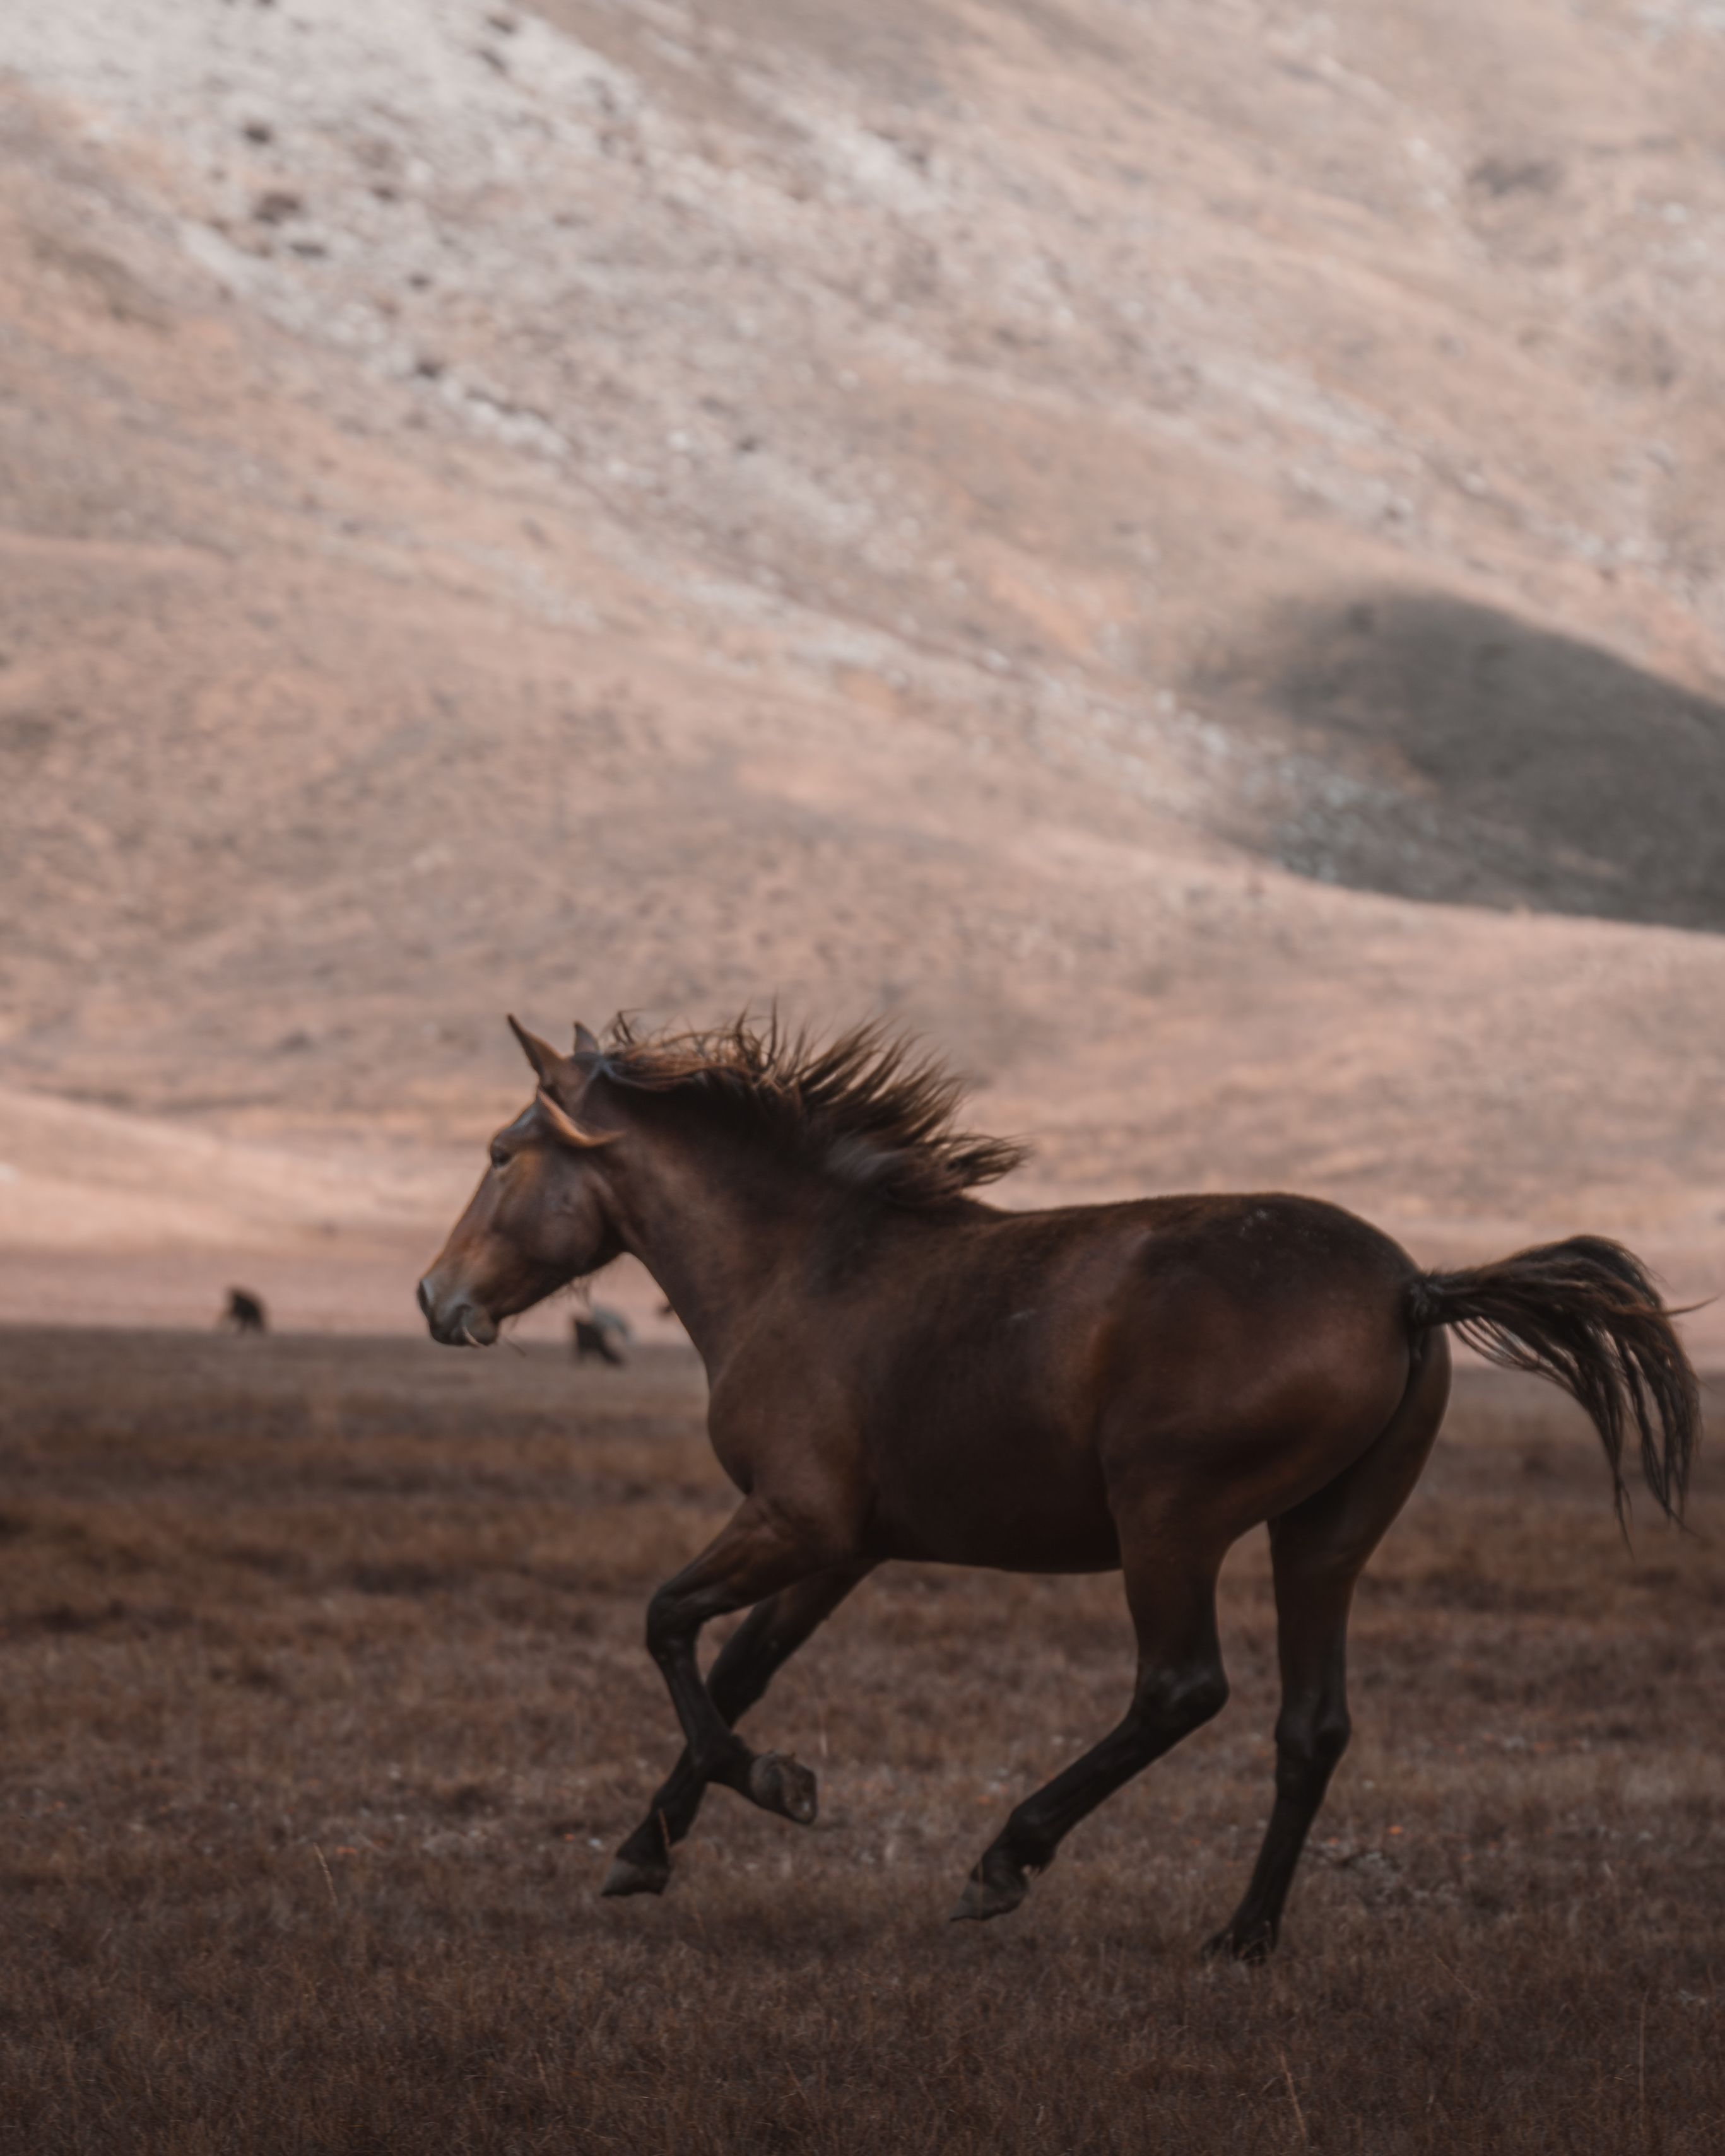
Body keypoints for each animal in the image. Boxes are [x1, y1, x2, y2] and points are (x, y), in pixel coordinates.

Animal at [416, 1013, 1700, 1956]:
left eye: (498, 1153)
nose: (435, 1299)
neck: (802, 1270)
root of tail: (1410, 1287)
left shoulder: (796, 1518)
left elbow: (667, 1623)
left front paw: (776, 1785)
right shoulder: (841, 1544)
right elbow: (738, 1664)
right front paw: (647, 1846)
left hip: (1169, 1520)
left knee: (1180, 1689)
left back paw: (1006, 1858)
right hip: (1322, 1533)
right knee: (1311, 1725)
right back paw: (1239, 1935)